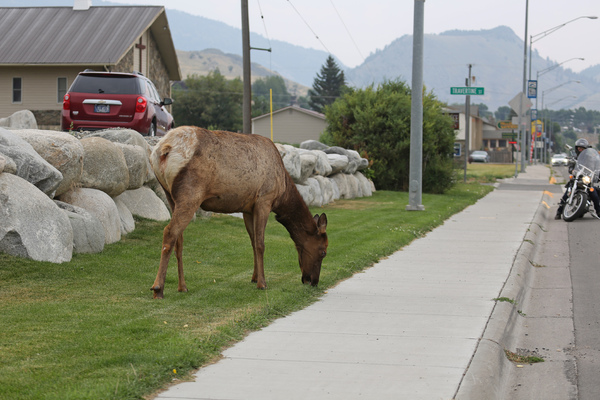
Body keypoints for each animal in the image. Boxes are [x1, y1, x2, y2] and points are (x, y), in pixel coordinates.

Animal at [149, 126, 328, 298]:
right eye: (323, 251)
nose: (313, 281)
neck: (282, 193)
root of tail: (163, 150)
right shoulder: (264, 200)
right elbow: (261, 243)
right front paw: (262, 283)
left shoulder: (248, 208)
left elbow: (253, 242)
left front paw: (254, 277)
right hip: (190, 194)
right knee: (170, 232)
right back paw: (158, 288)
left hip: (170, 196)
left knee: (179, 239)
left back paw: (182, 286)